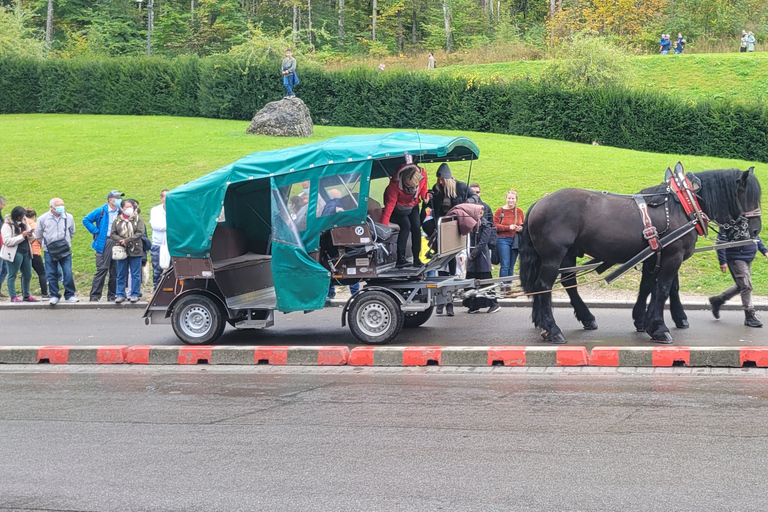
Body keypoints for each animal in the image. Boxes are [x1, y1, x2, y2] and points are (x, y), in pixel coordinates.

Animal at [520, 168, 760, 344]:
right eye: (749, 197)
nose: (756, 230)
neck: (683, 206)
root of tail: (541, 202)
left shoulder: (654, 255)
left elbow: (649, 287)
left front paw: (643, 321)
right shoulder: (673, 255)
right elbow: (663, 288)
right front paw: (660, 327)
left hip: (567, 255)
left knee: (567, 283)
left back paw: (571, 320)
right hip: (553, 256)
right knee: (544, 286)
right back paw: (552, 329)